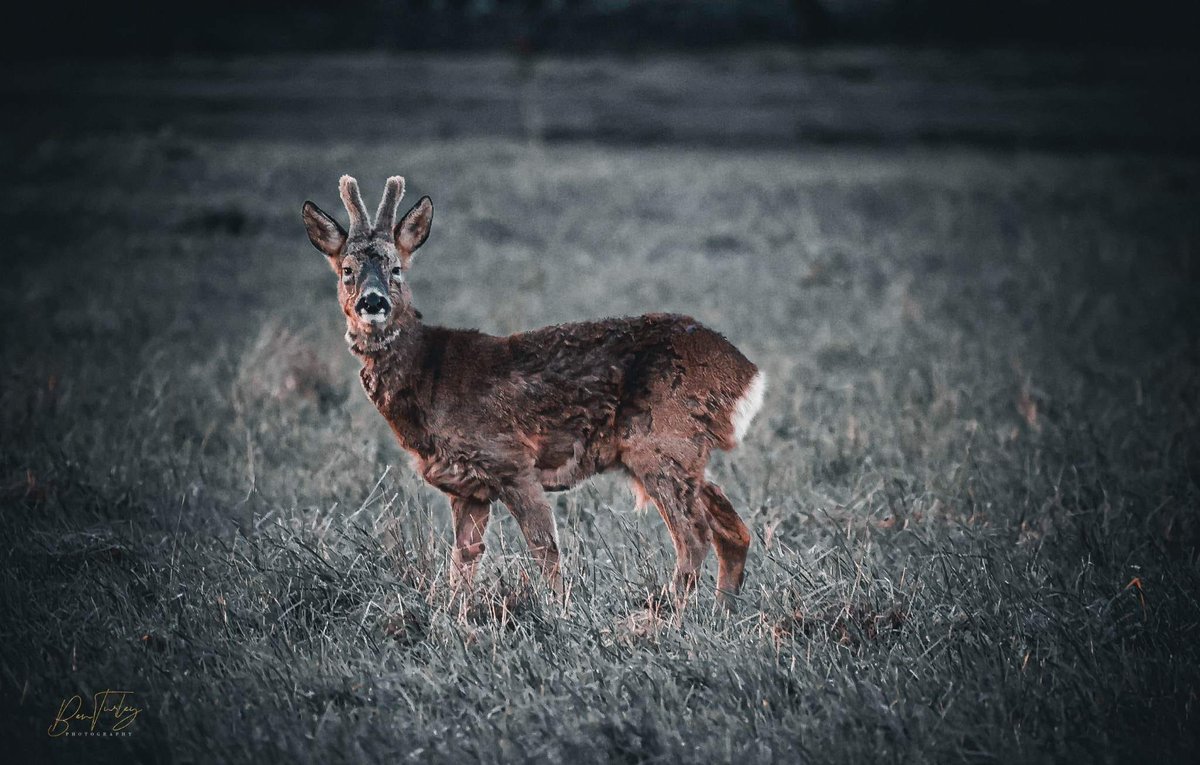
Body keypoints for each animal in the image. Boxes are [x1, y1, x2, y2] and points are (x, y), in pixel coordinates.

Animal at [301, 175, 766, 605]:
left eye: (396, 268)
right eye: (347, 271)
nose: (373, 302)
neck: (429, 376)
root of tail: (746, 372)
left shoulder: (510, 461)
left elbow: (545, 551)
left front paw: (562, 612)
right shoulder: (467, 486)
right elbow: (463, 561)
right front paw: (455, 616)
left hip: (662, 440)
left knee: (694, 537)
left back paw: (662, 618)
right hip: (681, 451)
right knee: (733, 529)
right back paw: (720, 613)